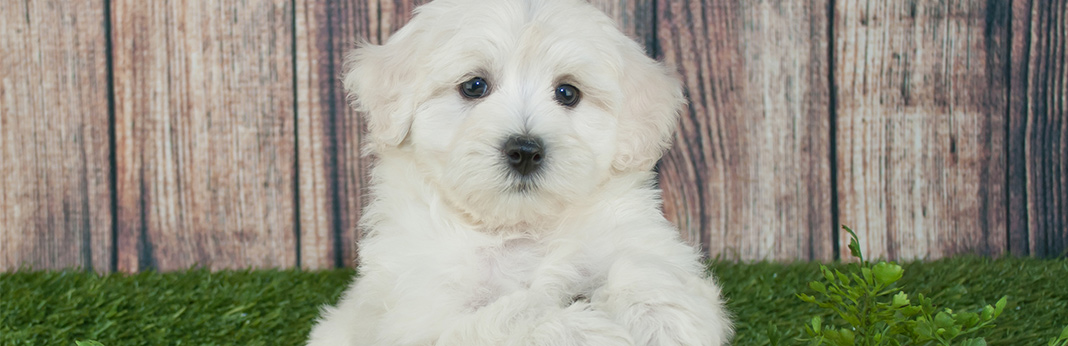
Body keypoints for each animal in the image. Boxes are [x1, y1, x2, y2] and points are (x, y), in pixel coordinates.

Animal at [305, 0, 730, 343]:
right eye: (474, 86)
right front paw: (588, 332)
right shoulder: (422, 312)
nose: (525, 151)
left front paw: (663, 324)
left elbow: (652, 274)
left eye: (568, 93)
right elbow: (509, 319)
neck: (517, 229)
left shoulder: (630, 234)